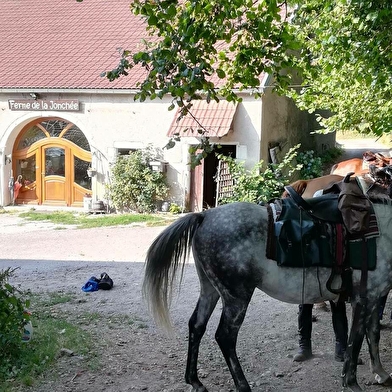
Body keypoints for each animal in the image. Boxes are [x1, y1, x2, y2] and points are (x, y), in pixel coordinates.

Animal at [142, 201, 392, 390]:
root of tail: (204, 215)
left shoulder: (376, 297)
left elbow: (373, 334)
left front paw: (381, 373)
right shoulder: (364, 298)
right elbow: (355, 341)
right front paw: (351, 383)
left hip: (210, 290)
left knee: (196, 325)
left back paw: (195, 381)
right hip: (236, 297)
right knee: (225, 337)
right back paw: (243, 386)